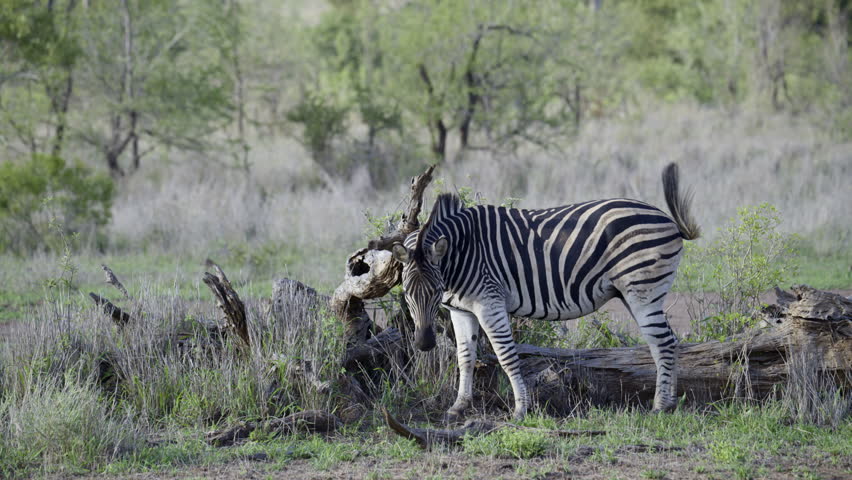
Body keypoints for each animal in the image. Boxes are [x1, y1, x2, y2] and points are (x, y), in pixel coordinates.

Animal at [390, 163, 700, 421]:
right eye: (406, 293)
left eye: (435, 291)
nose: (424, 344)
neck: (460, 255)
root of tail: (666, 218)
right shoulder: (460, 310)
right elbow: (465, 357)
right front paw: (458, 406)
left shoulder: (490, 302)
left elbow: (506, 355)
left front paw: (520, 409)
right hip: (635, 293)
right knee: (668, 342)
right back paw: (670, 403)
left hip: (643, 291)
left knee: (663, 342)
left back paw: (660, 406)